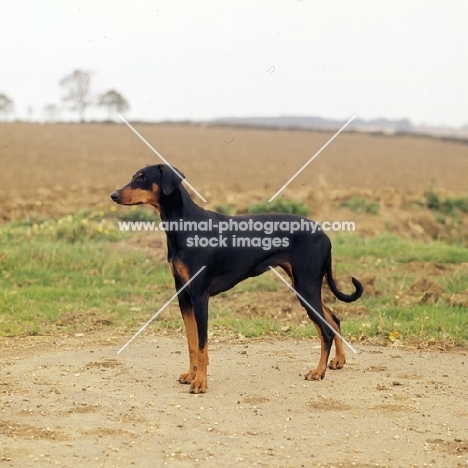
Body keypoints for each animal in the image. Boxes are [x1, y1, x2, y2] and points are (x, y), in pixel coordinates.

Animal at [111, 165, 364, 392]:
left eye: (142, 177)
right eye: (134, 176)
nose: (113, 195)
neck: (184, 227)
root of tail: (325, 234)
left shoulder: (200, 297)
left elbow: (202, 345)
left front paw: (200, 383)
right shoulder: (184, 296)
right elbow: (192, 343)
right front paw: (191, 375)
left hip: (305, 286)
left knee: (326, 330)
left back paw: (318, 371)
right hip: (305, 286)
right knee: (333, 319)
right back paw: (338, 361)